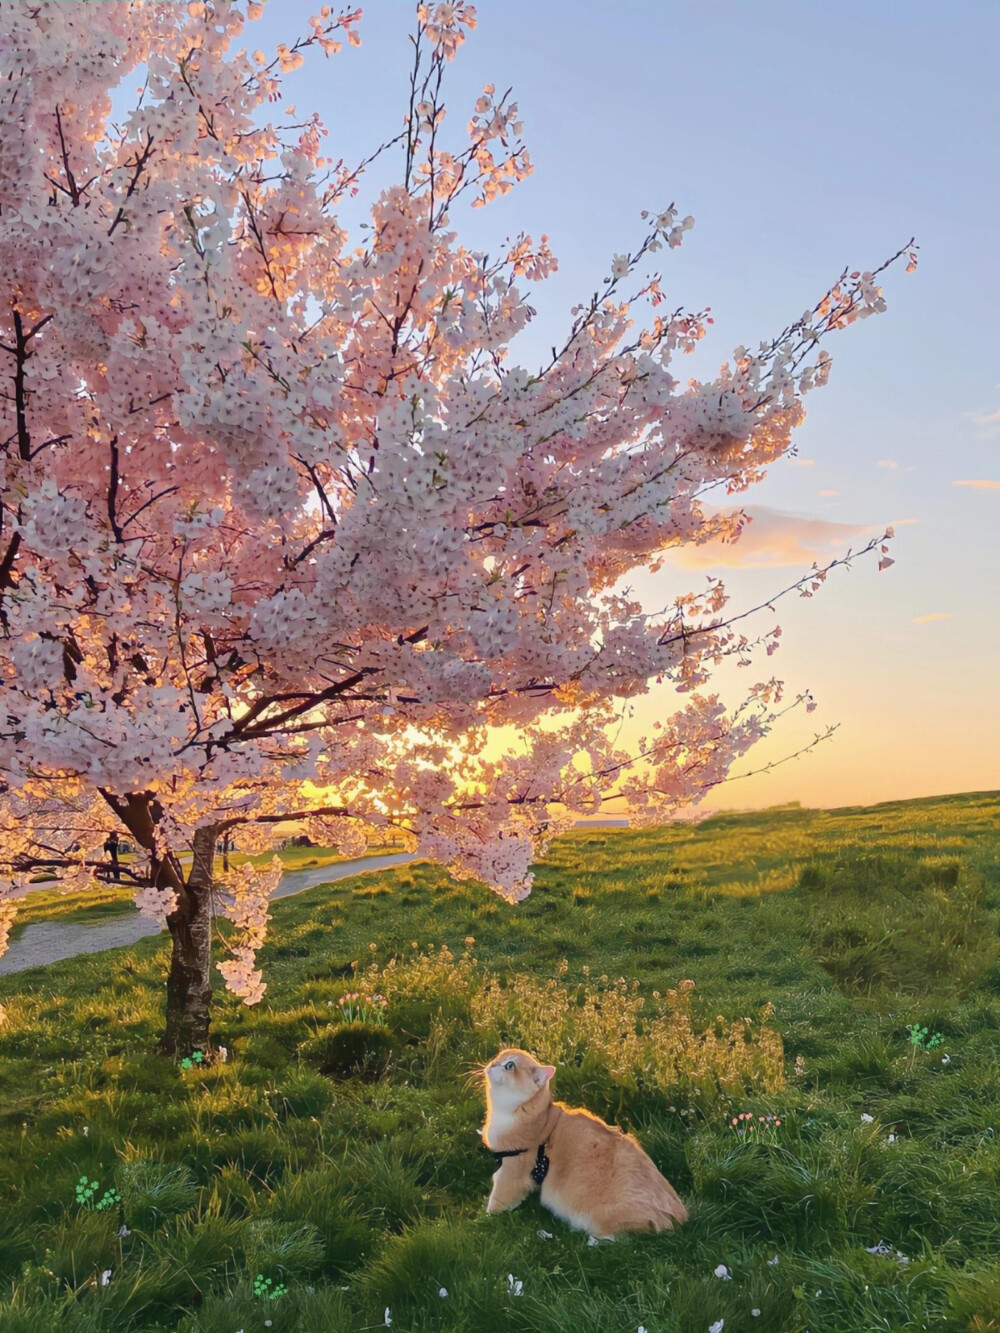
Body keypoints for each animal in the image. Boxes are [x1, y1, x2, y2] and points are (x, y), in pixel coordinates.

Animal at [480, 1050, 688, 1237]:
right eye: (498, 1056)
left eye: (510, 1065)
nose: (491, 1064)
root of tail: (678, 1219)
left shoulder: (513, 1168)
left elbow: (498, 1199)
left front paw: (486, 1219)